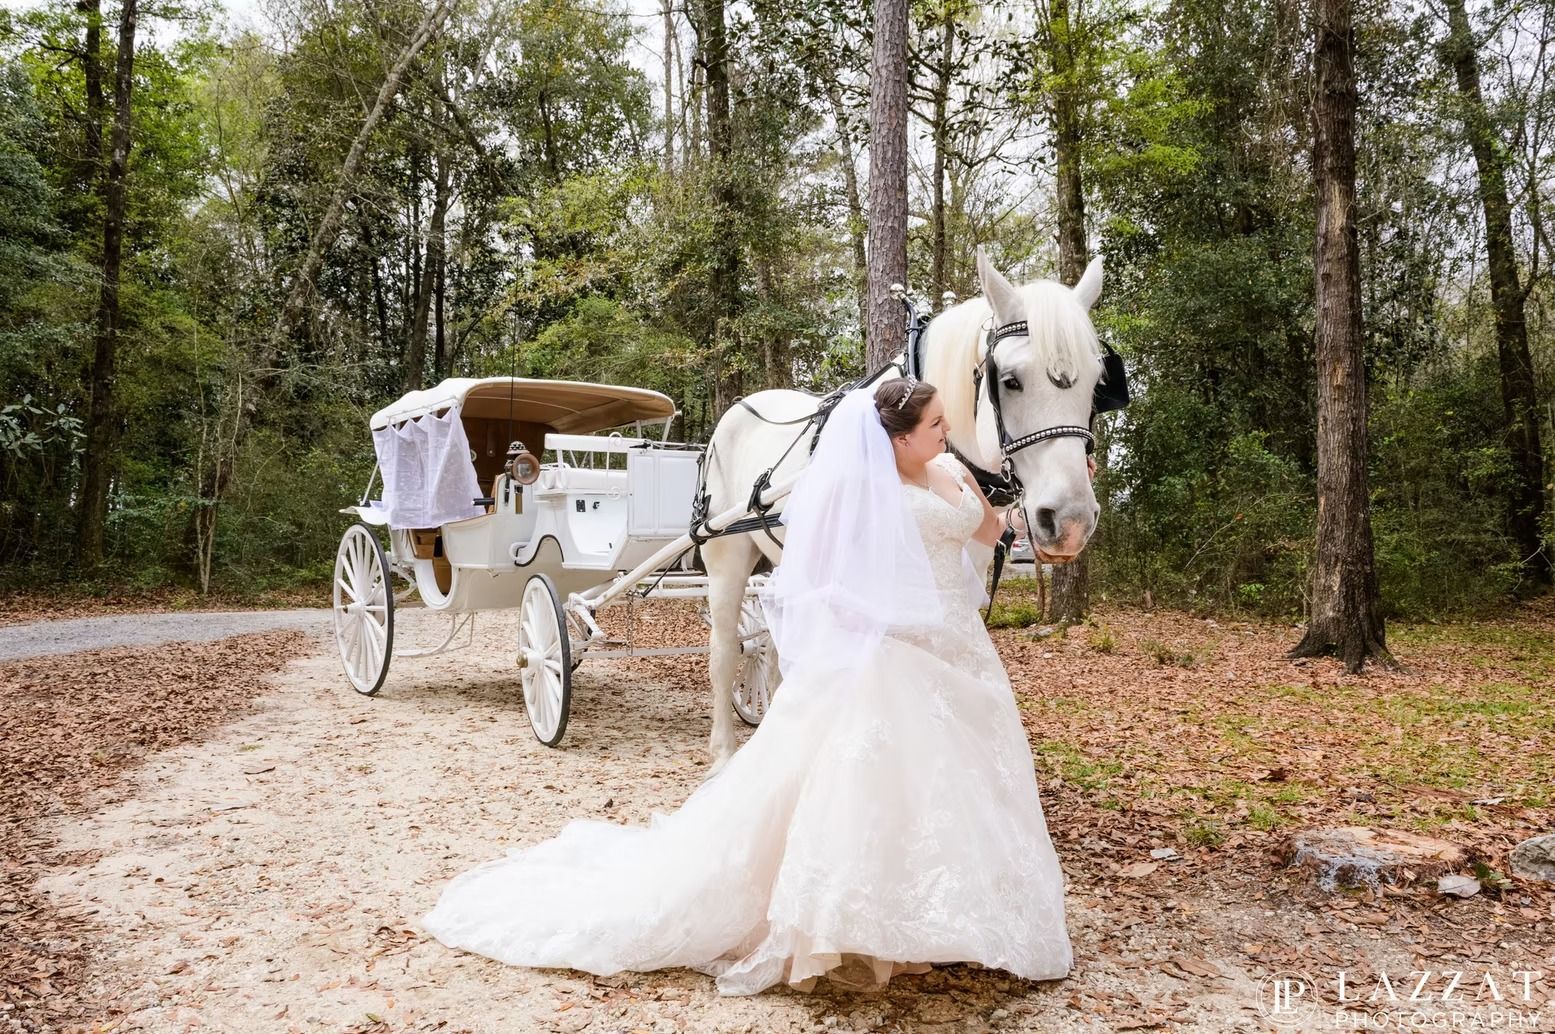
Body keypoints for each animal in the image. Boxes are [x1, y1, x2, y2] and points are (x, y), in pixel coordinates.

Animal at [698, 249, 1108, 772]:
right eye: (1010, 381)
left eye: (1096, 383)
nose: (1070, 521)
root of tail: (741, 407)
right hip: (725, 553)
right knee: (726, 649)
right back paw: (725, 752)